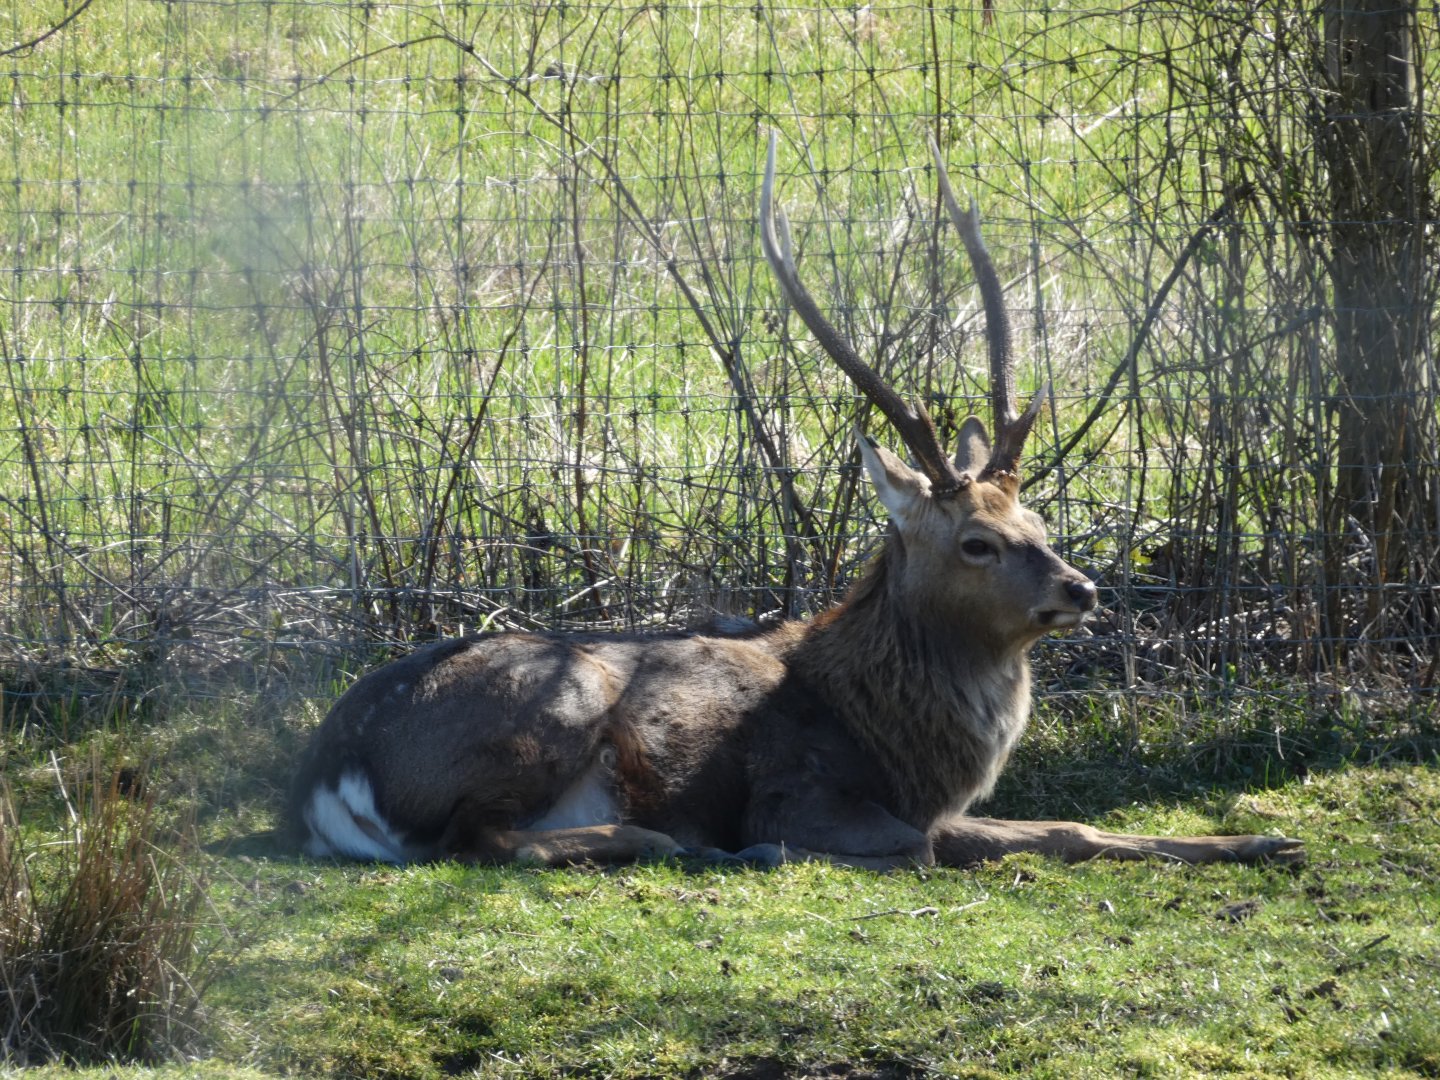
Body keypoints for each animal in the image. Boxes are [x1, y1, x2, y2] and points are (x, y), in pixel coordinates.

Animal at [288, 134, 1305, 871]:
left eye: (1039, 522)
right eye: (976, 541)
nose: (1082, 590)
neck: (902, 741)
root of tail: (324, 782)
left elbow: (1075, 827)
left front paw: (1268, 837)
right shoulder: (802, 791)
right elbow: (928, 845)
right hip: (554, 699)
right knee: (484, 840)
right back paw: (680, 845)